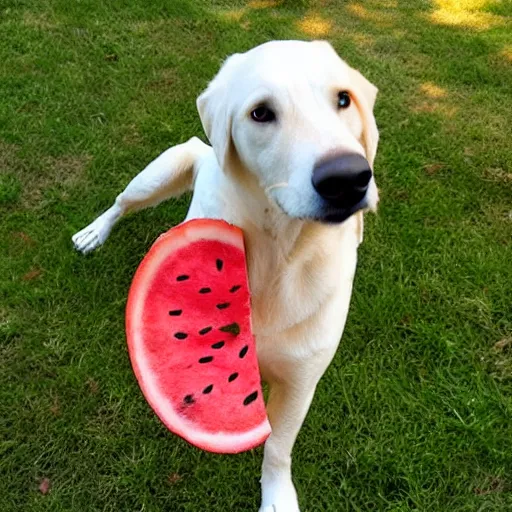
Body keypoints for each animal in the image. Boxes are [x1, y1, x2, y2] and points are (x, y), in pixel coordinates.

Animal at [72, 41, 378, 512]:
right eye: (261, 113)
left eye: (343, 99)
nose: (347, 178)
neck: (278, 255)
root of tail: (202, 148)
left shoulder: (300, 382)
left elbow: (277, 449)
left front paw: (277, 497)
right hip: (161, 172)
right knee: (120, 203)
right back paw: (94, 232)